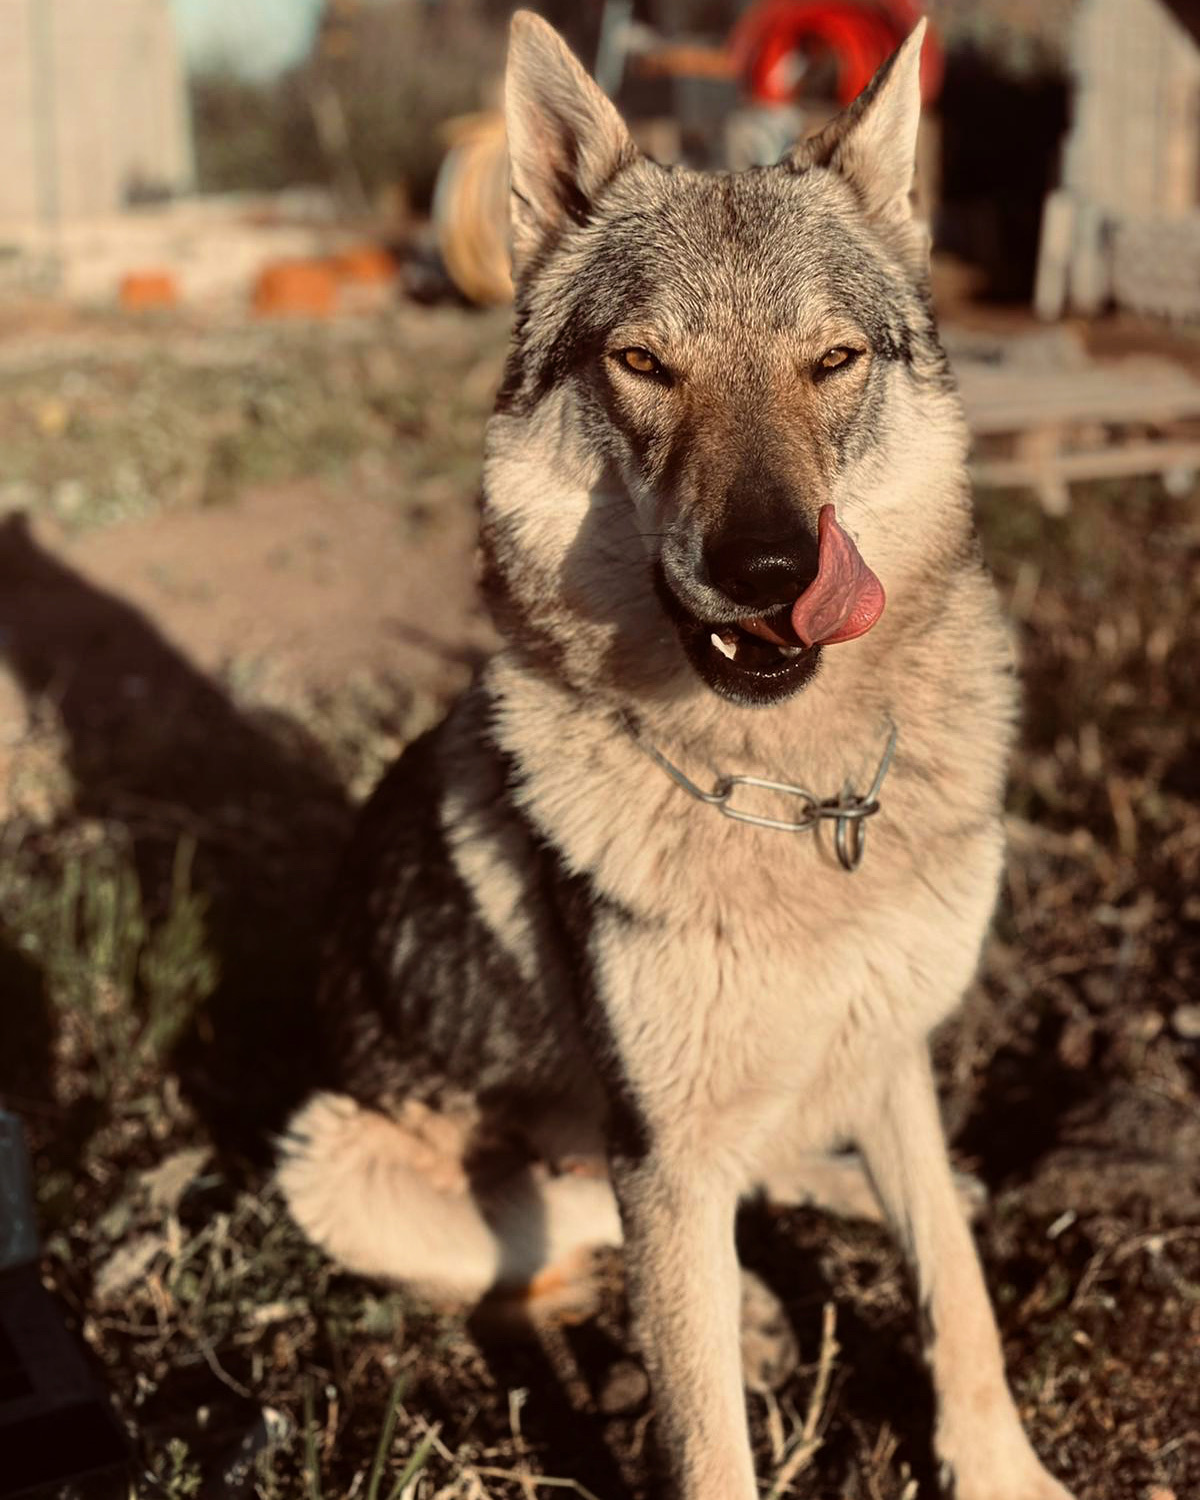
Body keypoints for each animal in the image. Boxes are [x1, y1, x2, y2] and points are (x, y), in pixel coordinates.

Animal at [279, 13, 1077, 1499]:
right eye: (644, 365)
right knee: (566, 1251)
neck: (796, 797)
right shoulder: (662, 1152)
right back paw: (746, 1306)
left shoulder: (892, 1048)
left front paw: (1003, 1471)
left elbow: (958, 1290)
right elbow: (702, 1430)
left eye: (834, 361)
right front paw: (732, 1344)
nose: (770, 570)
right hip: (342, 1162)